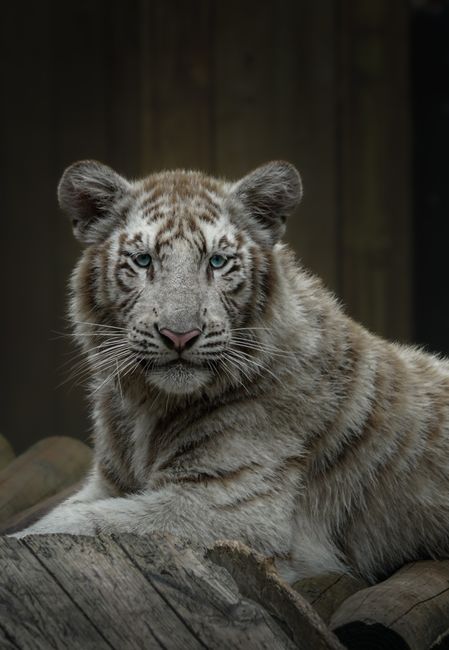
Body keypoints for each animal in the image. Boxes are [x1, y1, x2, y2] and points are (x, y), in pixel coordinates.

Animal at [12, 159, 449, 584]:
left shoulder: (232, 505)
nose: (180, 335)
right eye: (143, 260)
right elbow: (66, 513)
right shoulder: (107, 482)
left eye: (217, 262)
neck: (146, 404)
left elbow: (78, 524)